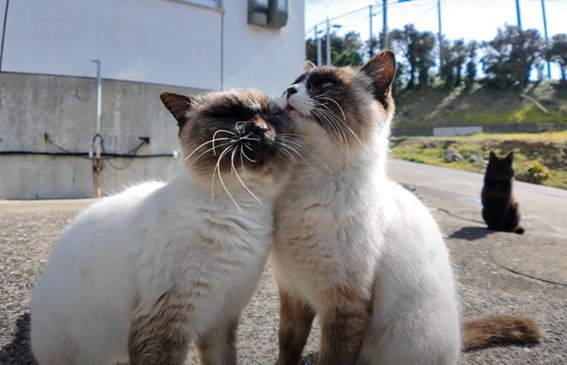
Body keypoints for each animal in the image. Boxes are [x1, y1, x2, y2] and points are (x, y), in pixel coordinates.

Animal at [30, 89, 298, 364]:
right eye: (230, 114)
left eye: (270, 115)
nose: (259, 128)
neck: (242, 204)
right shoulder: (164, 324)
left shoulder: (221, 319)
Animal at [272, 52, 544, 364]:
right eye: (295, 82)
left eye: (326, 85)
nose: (288, 91)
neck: (307, 183)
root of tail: (458, 340)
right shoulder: (293, 293)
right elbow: (287, 348)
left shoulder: (345, 308)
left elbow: (334, 358)